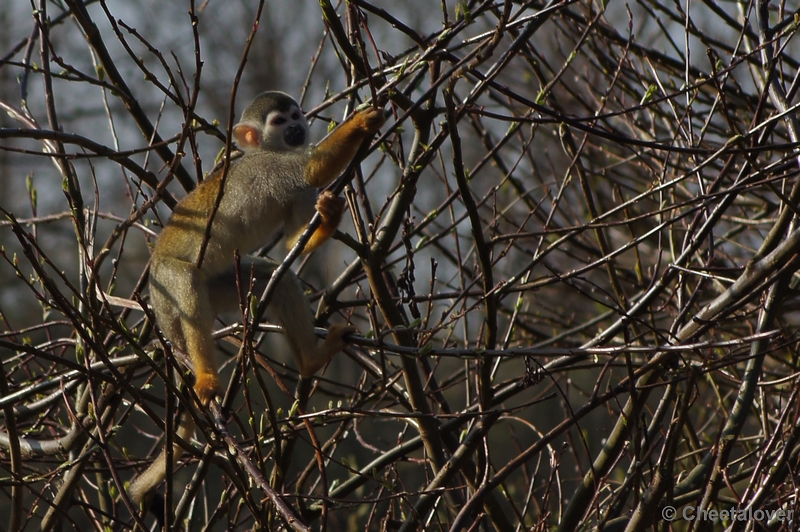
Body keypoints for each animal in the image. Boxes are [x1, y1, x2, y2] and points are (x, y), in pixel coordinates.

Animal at [126, 91, 382, 508]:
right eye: (279, 122)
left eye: (295, 115)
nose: (296, 129)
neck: (267, 149)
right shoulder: (267, 168)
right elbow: (311, 168)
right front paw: (360, 123)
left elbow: (295, 240)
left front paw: (328, 215)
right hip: (165, 279)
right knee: (187, 282)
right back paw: (207, 376)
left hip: (222, 283)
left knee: (272, 277)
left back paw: (310, 360)